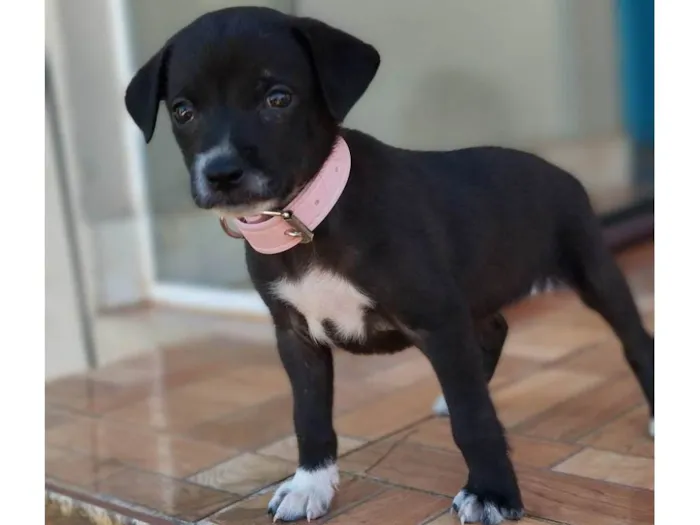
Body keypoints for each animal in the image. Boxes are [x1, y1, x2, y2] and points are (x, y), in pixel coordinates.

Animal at [124, 5, 652, 524]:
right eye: (183, 111)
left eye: (278, 99)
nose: (221, 173)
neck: (308, 219)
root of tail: (561, 172)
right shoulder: (295, 336)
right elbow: (309, 415)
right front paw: (310, 484)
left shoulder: (437, 320)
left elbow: (473, 417)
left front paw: (491, 492)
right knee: (494, 327)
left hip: (592, 270)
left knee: (635, 340)